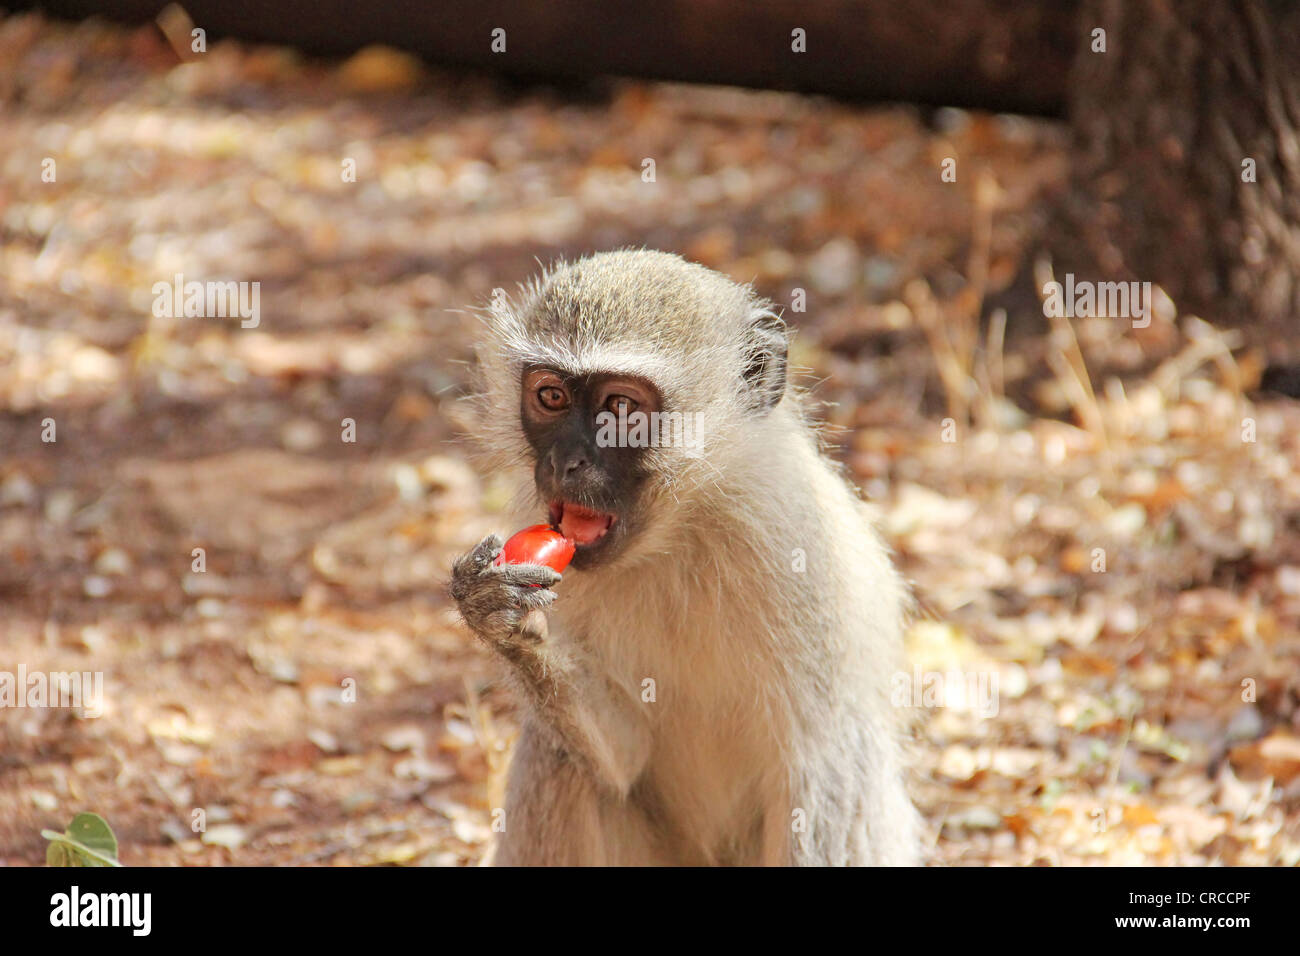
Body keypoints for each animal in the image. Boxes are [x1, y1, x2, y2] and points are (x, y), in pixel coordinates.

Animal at [452, 251, 920, 863]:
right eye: (551, 397)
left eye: (620, 407)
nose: (563, 462)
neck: (682, 528)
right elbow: (623, 757)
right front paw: (504, 618)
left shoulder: (803, 554)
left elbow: (819, 765)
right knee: (561, 761)